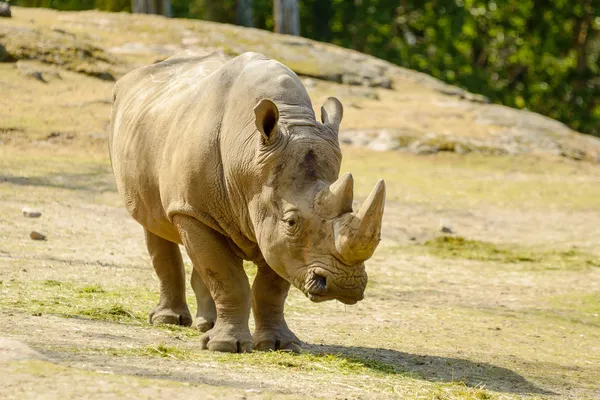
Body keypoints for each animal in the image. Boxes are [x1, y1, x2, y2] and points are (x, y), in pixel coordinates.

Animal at [109, 50, 384, 354]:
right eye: (291, 222)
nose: (344, 285)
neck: (249, 156)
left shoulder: (274, 231)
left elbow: (270, 286)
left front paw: (279, 345)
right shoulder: (191, 211)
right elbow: (227, 277)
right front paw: (225, 346)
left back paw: (205, 325)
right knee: (155, 226)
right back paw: (170, 321)